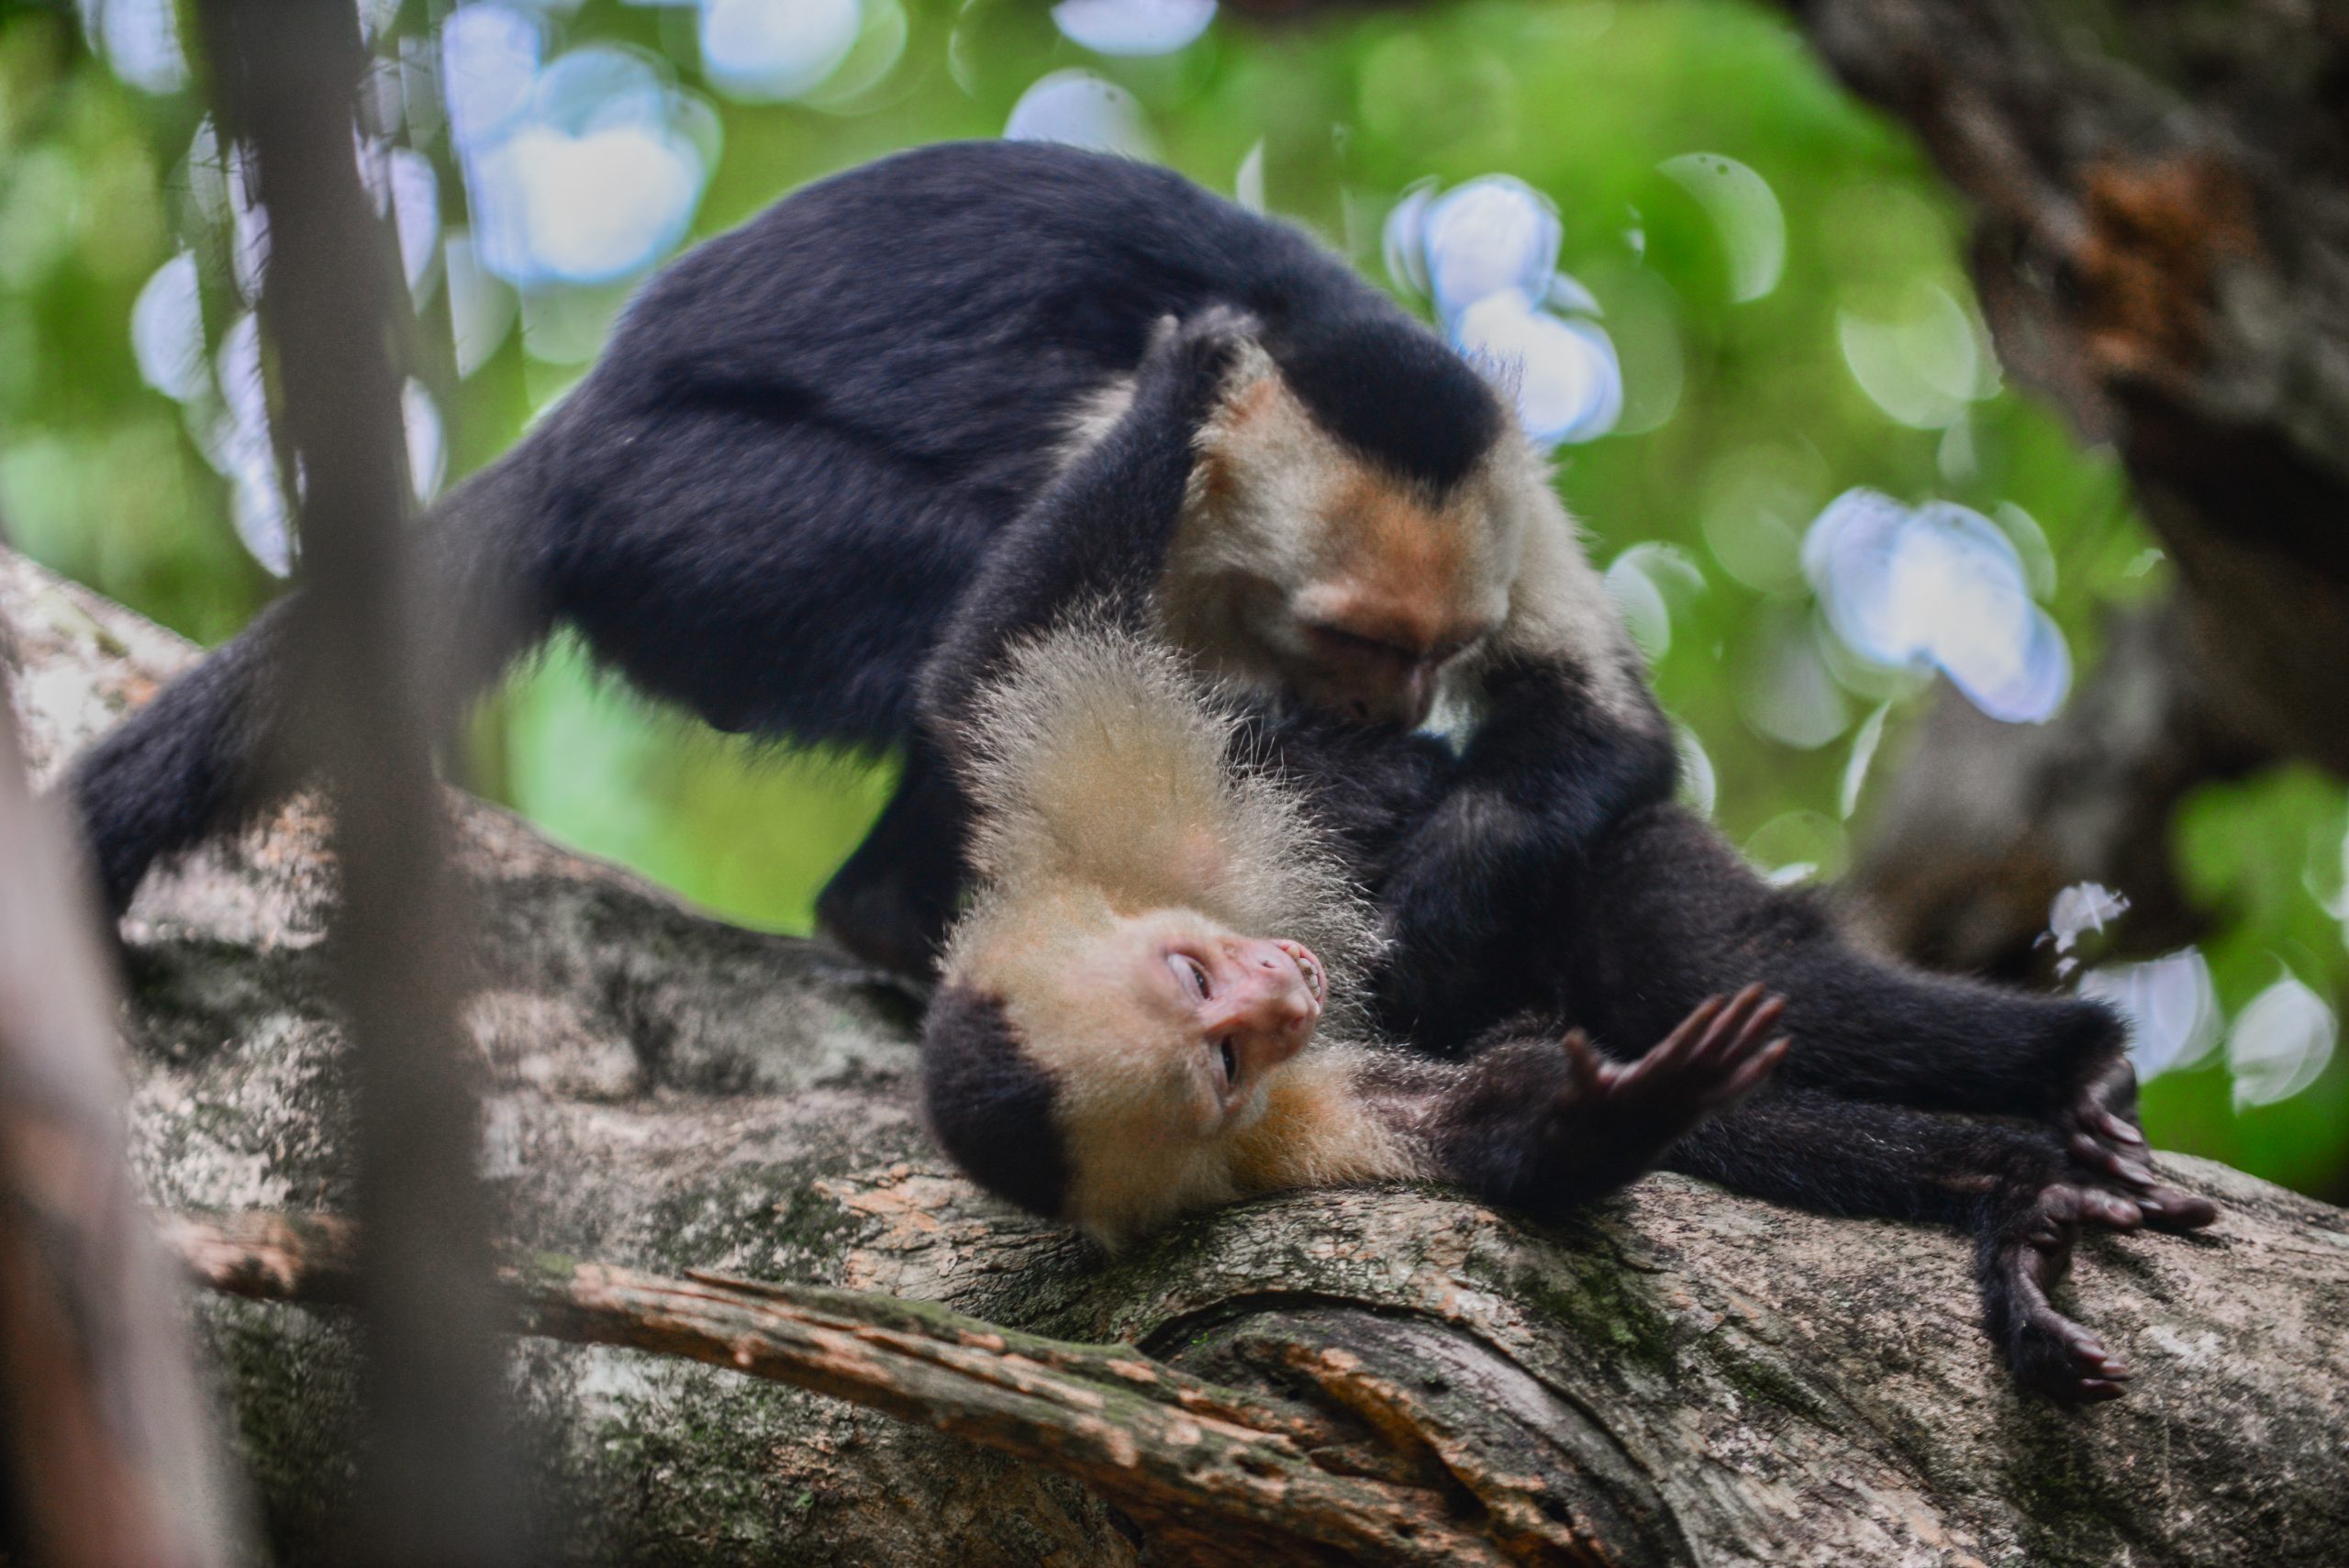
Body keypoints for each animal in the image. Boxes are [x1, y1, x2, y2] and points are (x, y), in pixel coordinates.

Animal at [63, 140, 1669, 994]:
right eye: (1357, 643)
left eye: (1434, 656)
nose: (1386, 716)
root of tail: (577, 427)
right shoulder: (1160, 433)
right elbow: (994, 666)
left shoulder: (1518, 496)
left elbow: (1616, 737)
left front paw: (1455, 871)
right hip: (692, 513)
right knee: (958, 618)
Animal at [915, 309, 2218, 1406]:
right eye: (1220, 1057)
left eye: (1194, 973)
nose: (1281, 990)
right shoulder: (1274, 1137)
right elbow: (1515, 1116)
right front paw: (1626, 1103)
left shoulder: (1094, 801)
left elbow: (1000, 653)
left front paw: (1185, 371)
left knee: (1693, 942)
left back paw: (2079, 1063)